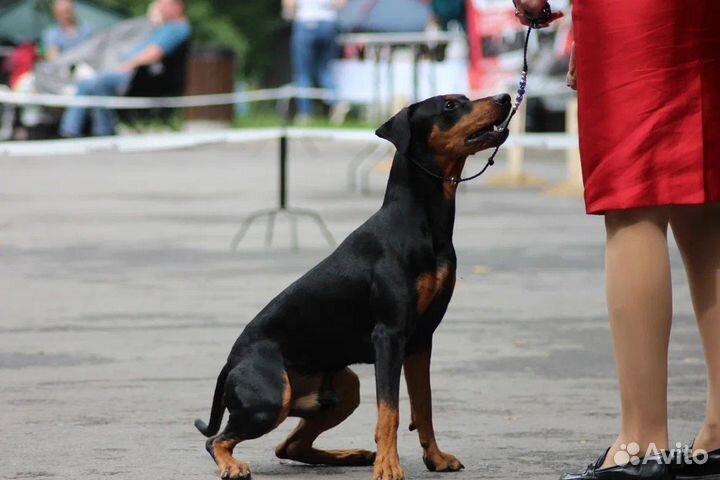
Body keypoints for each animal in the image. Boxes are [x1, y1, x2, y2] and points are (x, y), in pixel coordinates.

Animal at [194, 92, 516, 478]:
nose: (505, 97)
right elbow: (389, 411)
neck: (421, 222)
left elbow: (423, 406)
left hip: (345, 387)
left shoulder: (421, 339)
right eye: (451, 105)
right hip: (272, 399)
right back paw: (234, 465)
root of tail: (231, 362)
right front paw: (389, 467)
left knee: (289, 445)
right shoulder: (389, 336)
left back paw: (351, 454)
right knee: (218, 440)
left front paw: (435, 458)